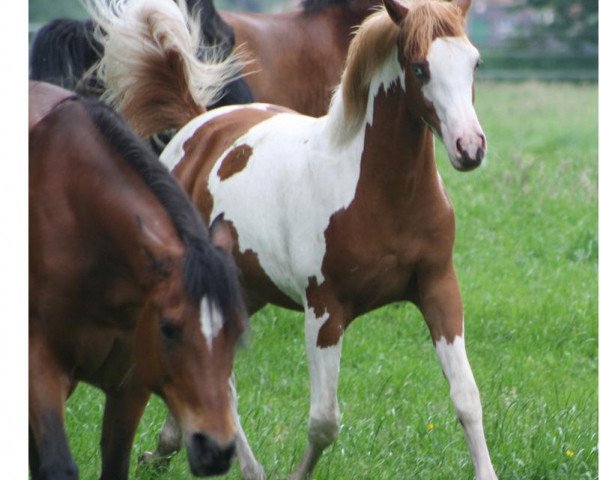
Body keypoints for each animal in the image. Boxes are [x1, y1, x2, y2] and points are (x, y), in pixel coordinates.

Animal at [27, 80, 248, 478]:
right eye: (169, 328)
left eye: (236, 332)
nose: (217, 448)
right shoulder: (39, 363)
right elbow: (57, 464)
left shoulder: (131, 386)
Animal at [91, 0, 496, 480]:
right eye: (420, 68)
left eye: (474, 62)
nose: (469, 148)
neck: (377, 191)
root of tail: (197, 124)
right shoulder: (324, 310)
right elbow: (324, 422)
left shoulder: (438, 287)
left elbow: (467, 398)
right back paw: (241, 466)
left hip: (244, 291)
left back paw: (168, 447)